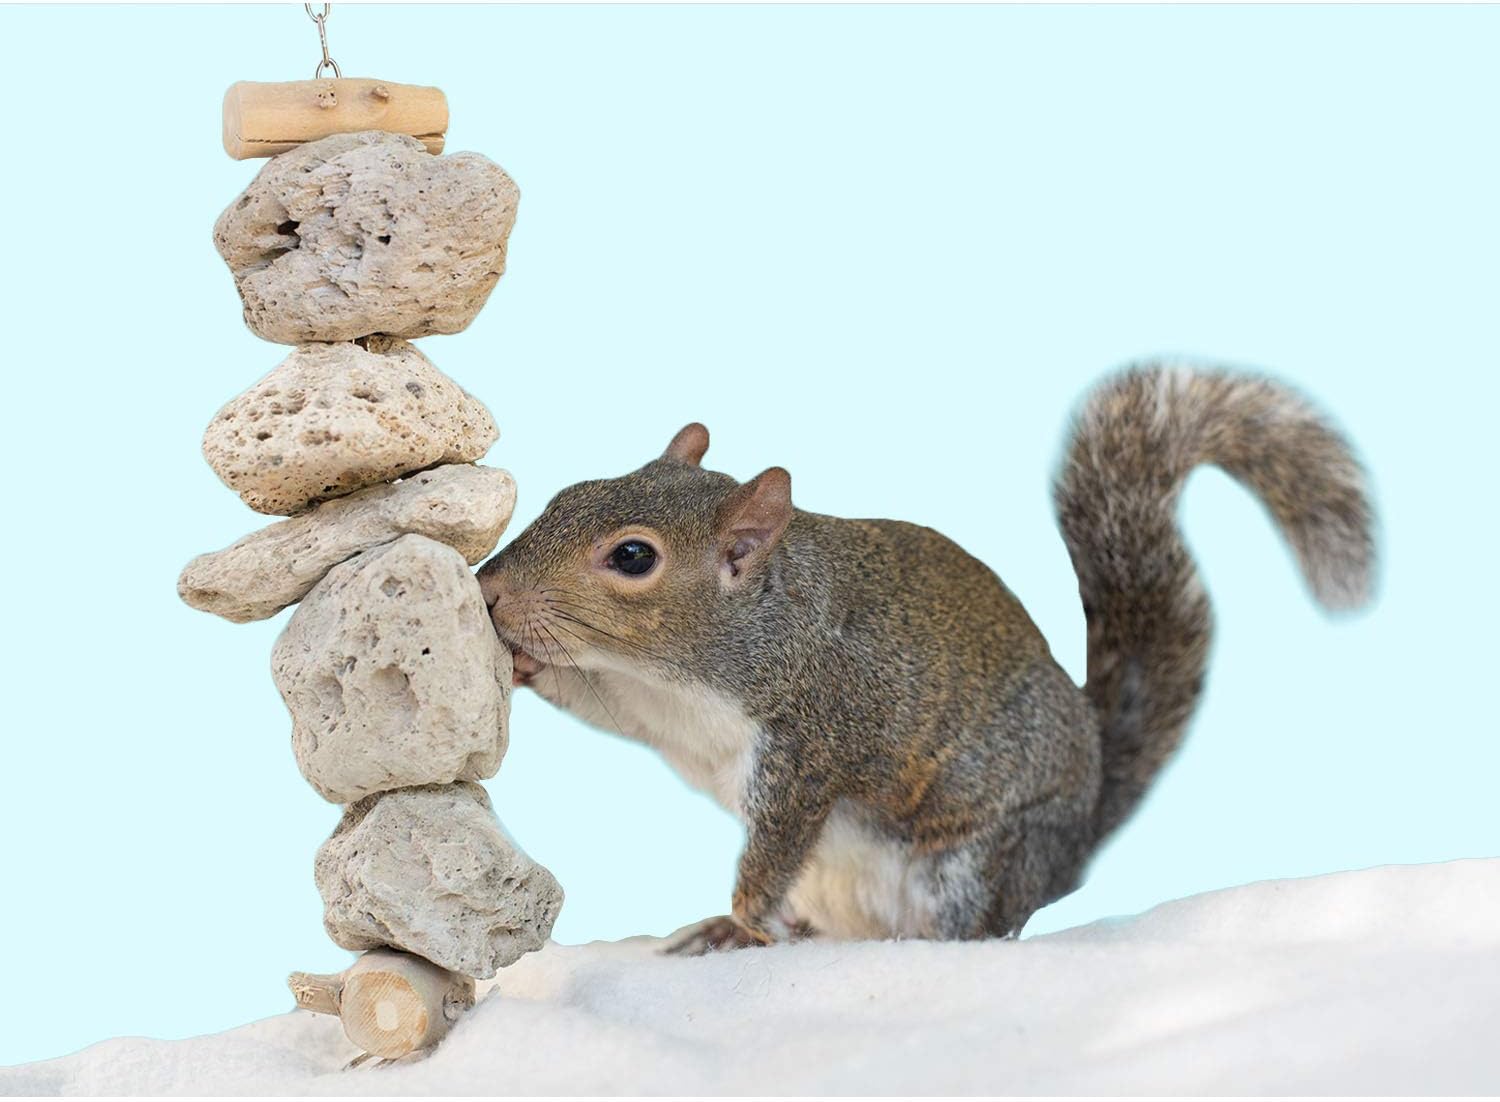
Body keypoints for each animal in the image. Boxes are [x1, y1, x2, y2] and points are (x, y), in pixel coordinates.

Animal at [476, 364, 1375, 952]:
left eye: (632, 557)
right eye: (565, 496)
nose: (490, 590)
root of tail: (1078, 839)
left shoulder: (811, 742)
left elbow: (774, 845)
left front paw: (740, 922)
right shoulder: (645, 703)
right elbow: (602, 705)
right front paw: (523, 663)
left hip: (977, 863)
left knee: (978, 925)